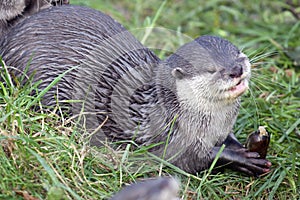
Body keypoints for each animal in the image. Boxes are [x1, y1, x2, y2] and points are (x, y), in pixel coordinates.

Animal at [0, 5, 272, 177]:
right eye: (211, 69)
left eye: (239, 53)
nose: (236, 69)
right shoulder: (170, 137)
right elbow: (192, 160)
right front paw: (243, 159)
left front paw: (250, 144)